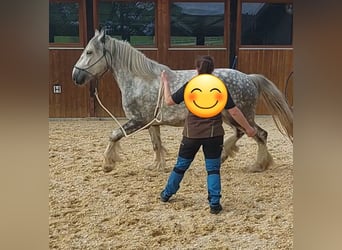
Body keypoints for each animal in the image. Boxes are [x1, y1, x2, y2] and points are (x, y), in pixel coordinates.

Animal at [71, 29, 292, 173]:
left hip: (240, 114)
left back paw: (258, 165)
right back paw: (225, 157)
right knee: (244, 133)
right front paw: (157, 166)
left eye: (89, 52)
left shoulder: (138, 121)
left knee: (259, 134)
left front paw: (108, 164)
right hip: (230, 116)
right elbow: (156, 145)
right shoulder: (152, 123)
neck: (140, 79)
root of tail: (250, 78)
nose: (75, 76)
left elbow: (114, 135)